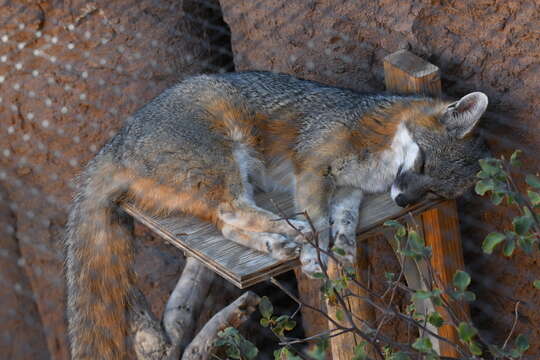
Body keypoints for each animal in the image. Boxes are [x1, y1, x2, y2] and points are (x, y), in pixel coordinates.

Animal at [64, 70, 490, 358]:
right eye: (423, 163)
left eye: (434, 191)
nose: (402, 202)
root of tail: (115, 143)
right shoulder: (313, 168)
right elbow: (319, 219)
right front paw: (316, 255)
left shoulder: (348, 189)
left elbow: (344, 219)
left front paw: (344, 248)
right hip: (228, 162)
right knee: (233, 211)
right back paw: (291, 232)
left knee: (227, 225)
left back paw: (276, 243)